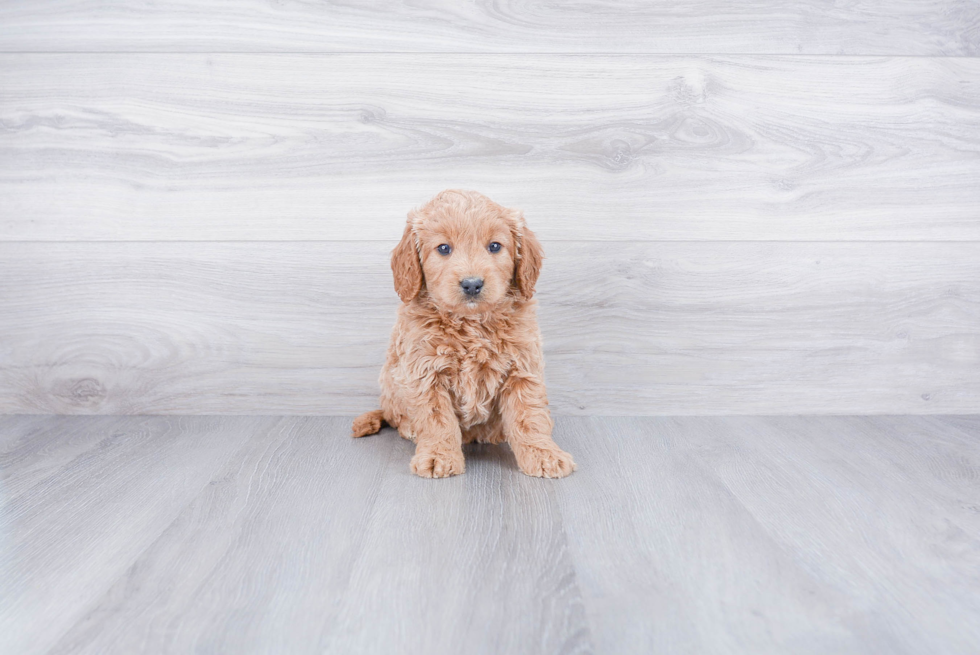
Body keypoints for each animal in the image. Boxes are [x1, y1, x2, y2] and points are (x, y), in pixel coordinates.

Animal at [354, 187, 576, 480]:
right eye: (443, 248)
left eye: (495, 246)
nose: (472, 284)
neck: (472, 323)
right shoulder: (425, 371)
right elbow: (437, 419)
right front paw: (438, 456)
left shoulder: (522, 368)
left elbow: (529, 417)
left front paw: (543, 454)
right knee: (396, 416)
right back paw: (410, 428)